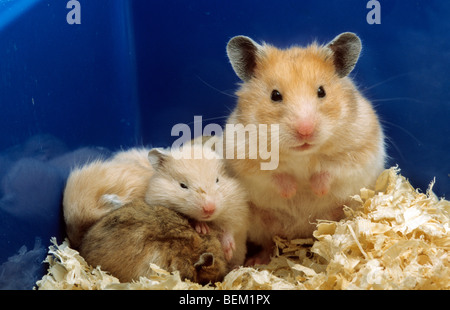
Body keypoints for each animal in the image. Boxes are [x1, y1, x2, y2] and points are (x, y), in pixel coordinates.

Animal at [225, 32, 386, 264]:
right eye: (275, 95)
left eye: (322, 91)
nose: (305, 131)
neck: (303, 155)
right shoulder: (244, 157)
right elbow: (274, 175)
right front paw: (292, 191)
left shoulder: (359, 149)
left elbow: (331, 169)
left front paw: (316, 190)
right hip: (261, 225)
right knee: (268, 243)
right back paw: (256, 261)